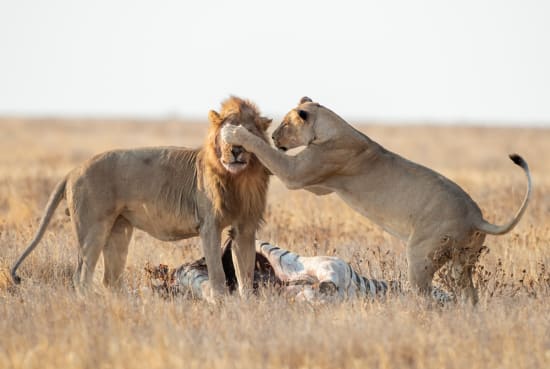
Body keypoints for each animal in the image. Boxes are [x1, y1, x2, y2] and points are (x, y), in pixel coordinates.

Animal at [12, 95, 272, 300]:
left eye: (248, 133)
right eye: (227, 135)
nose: (236, 151)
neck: (239, 179)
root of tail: (72, 171)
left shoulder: (245, 227)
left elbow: (245, 272)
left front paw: (247, 305)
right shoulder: (209, 225)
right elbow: (217, 272)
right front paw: (219, 302)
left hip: (119, 230)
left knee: (110, 280)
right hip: (92, 228)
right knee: (81, 276)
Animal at [222, 95, 532, 302]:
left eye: (286, 124)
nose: (275, 136)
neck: (331, 125)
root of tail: (477, 217)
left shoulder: (298, 173)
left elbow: (266, 154)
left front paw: (236, 133)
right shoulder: (319, 185)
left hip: (421, 254)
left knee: (425, 292)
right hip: (461, 262)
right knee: (469, 293)